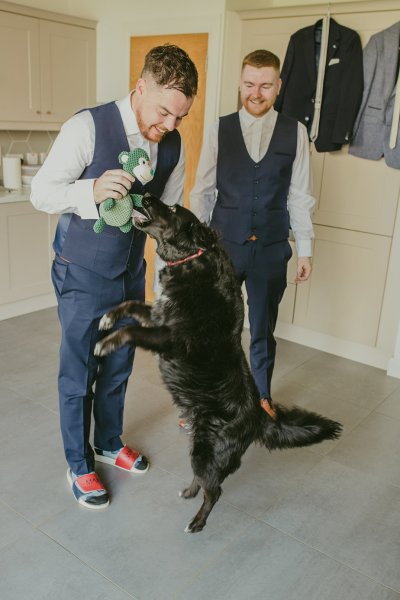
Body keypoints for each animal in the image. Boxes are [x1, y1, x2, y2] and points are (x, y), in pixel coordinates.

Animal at [94, 195, 340, 532]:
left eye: (173, 209)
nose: (145, 195)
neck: (190, 260)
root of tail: (258, 416)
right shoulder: (157, 316)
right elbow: (130, 305)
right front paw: (108, 318)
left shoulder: (169, 338)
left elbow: (131, 331)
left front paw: (106, 343)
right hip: (199, 446)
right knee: (206, 481)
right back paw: (189, 492)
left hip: (206, 450)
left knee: (215, 490)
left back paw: (197, 521)